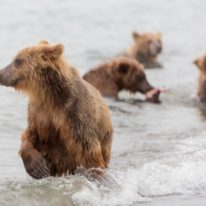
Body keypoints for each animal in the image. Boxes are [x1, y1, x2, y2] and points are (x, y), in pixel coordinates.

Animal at [0, 40, 112, 179]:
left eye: (18, 60)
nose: (1, 73)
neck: (50, 94)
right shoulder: (40, 111)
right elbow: (31, 134)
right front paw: (37, 167)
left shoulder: (76, 112)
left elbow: (88, 149)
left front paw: (93, 172)